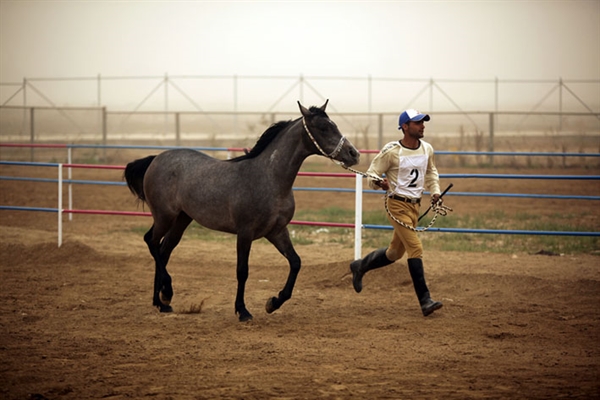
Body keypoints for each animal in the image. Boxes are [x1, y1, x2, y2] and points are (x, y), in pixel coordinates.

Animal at [124, 101, 360, 322]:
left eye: (334, 125)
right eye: (323, 128)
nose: (354, 153)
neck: (269, 179)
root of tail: (156, 159)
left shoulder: (276, 231)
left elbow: (295, 262)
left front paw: (273, 302)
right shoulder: (245, 233)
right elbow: (242, 271)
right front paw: (243, 311)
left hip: (182, 219)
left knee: (164, 250)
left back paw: (162, 302)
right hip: (164, 216)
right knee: (151, 242)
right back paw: (167, 293)